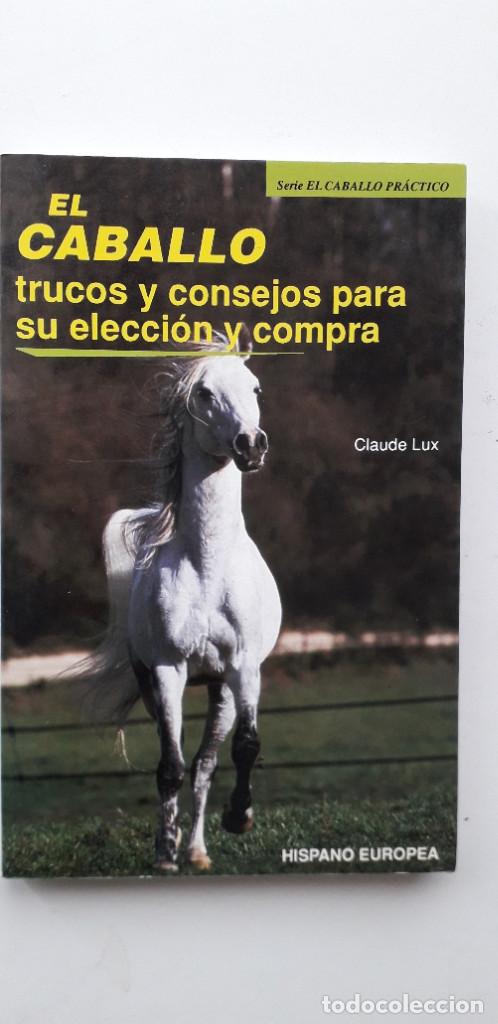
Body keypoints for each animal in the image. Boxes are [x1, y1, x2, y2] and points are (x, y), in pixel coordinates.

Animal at [80, 334, 281, 872]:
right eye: (205, 394)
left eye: (256, 387)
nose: (251, 444)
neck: (208, 565)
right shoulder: (168, 670)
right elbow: (168, 767)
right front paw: (163, 854)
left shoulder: (243, 668)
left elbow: (244, 747)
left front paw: (239, 819)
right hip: (156, 684)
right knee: (177, 758)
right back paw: (174, 849)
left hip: (221, 688)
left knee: (207, 763)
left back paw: (198, 851)